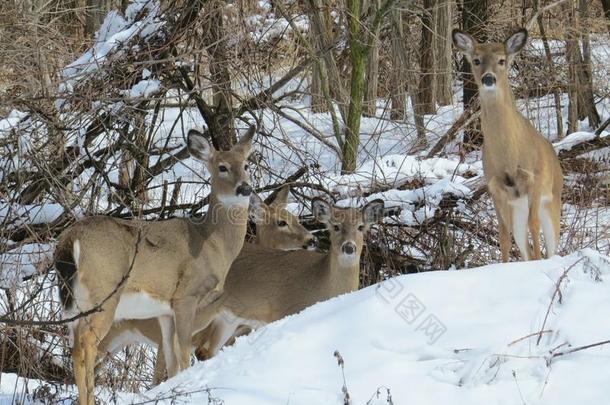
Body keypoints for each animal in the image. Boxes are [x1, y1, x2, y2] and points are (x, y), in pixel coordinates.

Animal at [55, 127, 255, 404]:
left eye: (246, 164)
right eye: (222, 167)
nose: (245, 188)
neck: (212, 243)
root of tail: (70, 240)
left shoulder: (165, 311)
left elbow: (171, 360)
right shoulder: (186, 296)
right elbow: (184, 352)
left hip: (74, 303)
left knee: (74, 347)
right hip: (104, 295)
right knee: (88, 343)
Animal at [452, 29, 560, 262]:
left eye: (502, 60)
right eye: (476, 60)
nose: (488, 78)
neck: (509, 155)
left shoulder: (533, 179)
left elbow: (534, 226)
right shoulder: (495, 187)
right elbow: (503, 236)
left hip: (552, 200)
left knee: (552, 246)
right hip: (517, 208)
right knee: (522, 242)